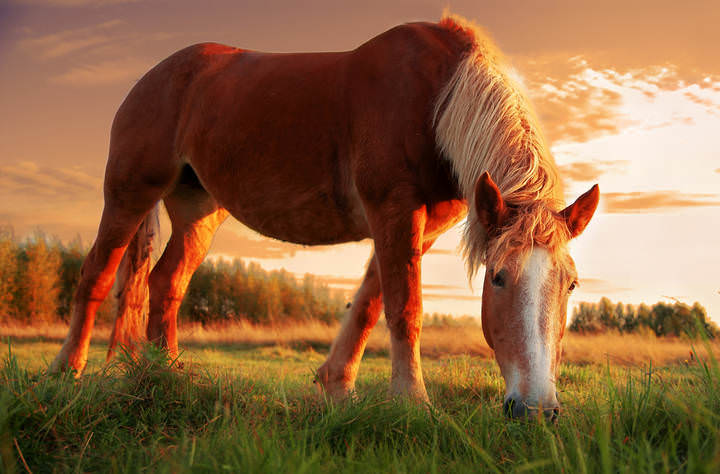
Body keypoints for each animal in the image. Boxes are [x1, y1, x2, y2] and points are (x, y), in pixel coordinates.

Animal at [49, 13, 599, 419]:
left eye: (571, 284)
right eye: (499, 278)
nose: (535, 410)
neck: (435, 98)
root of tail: (156, 74)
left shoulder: (419, 223)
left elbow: (370, 303)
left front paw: (337, 386)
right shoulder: (394, 208)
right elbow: (405, 306)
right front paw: (412, 402)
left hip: (198, 210)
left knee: (165, 282)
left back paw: (166, 373)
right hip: (128, 194)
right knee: (97, 276)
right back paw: (65, 373)